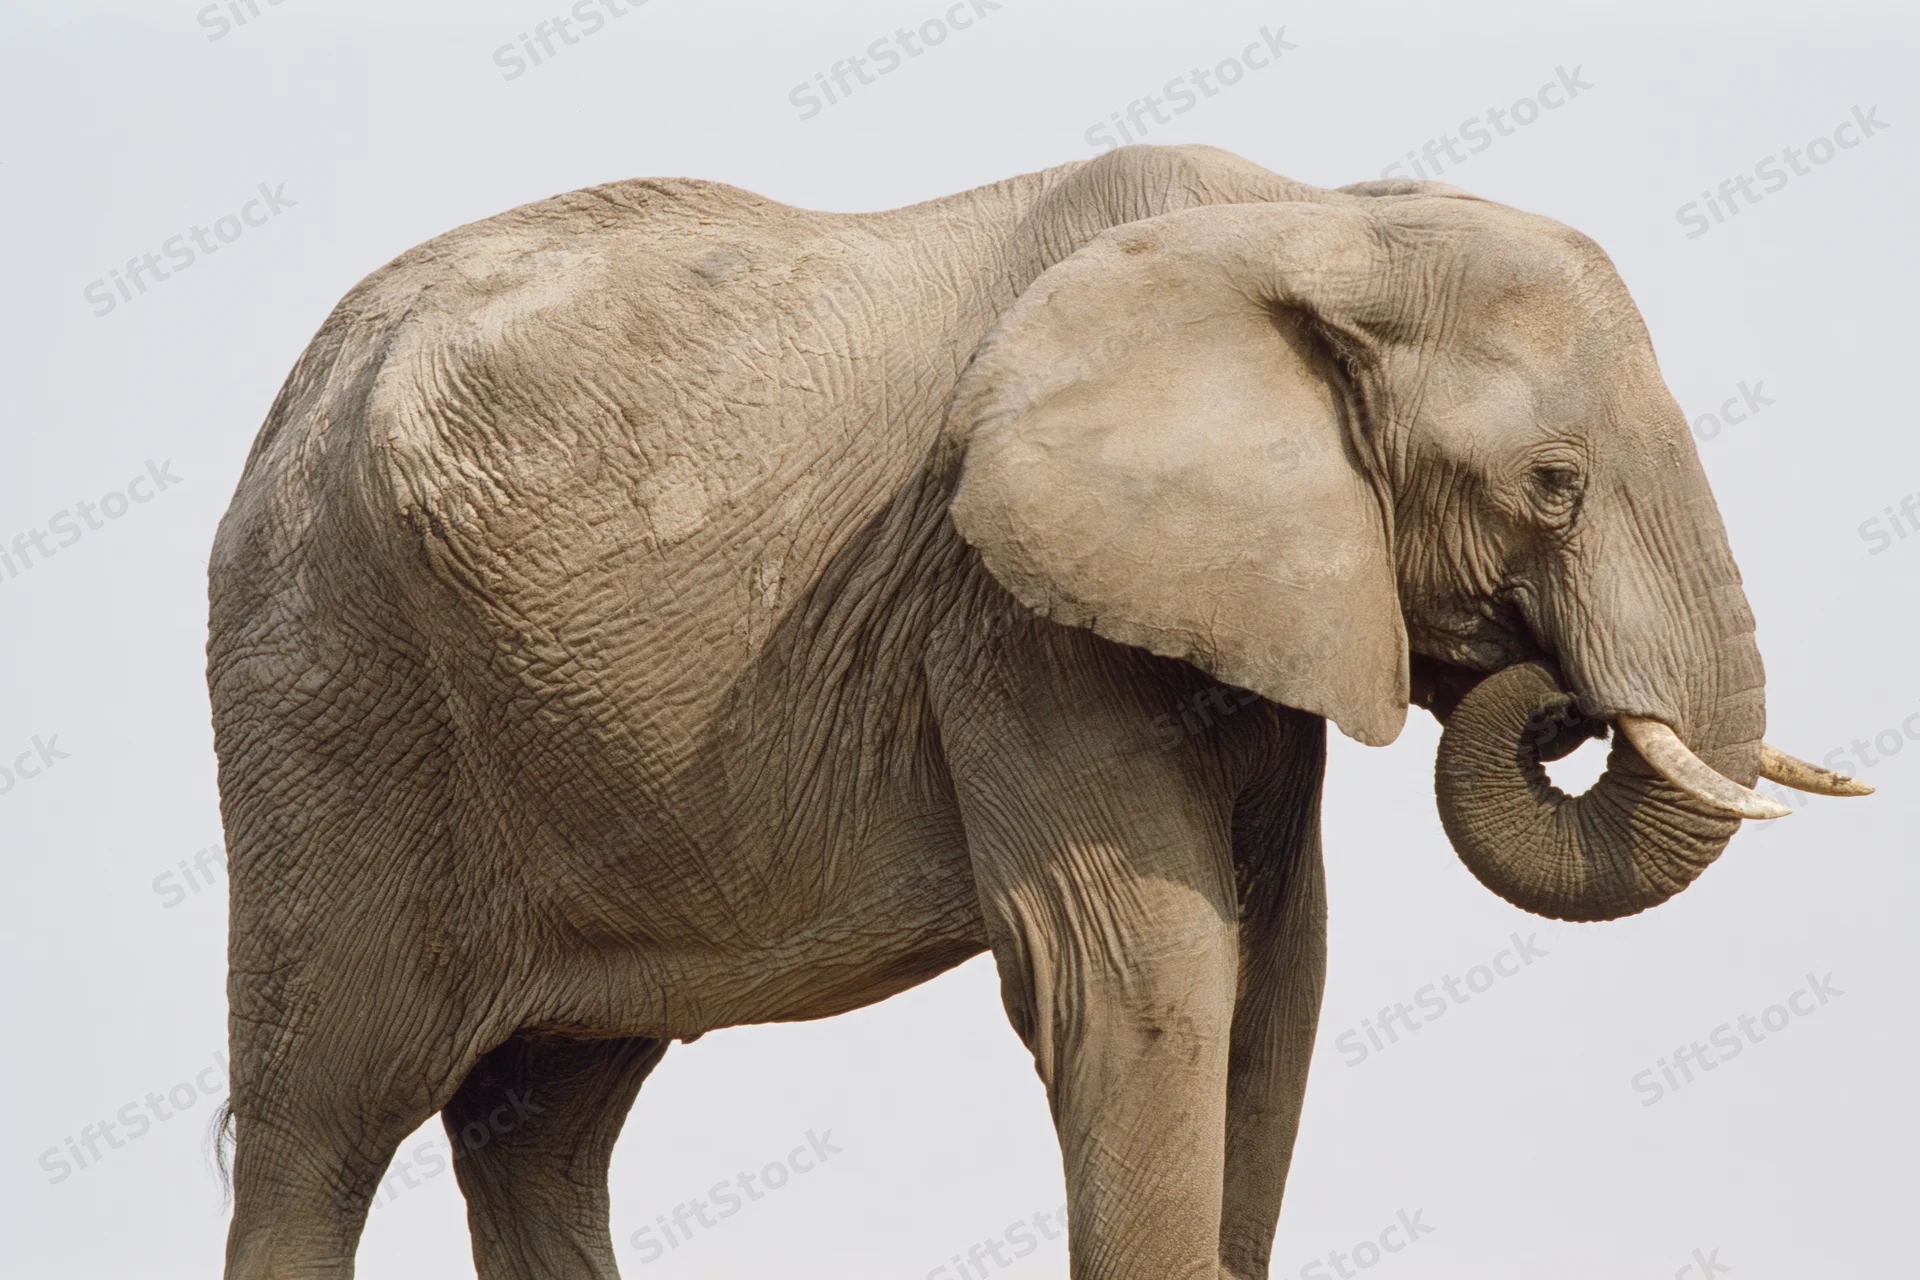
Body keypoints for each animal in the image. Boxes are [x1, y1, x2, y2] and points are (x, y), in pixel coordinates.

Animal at [206, 143, 1869, 1280]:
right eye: (1554, 484)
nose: (1553, 697)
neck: (1310, 216)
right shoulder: (1007, 608)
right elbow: (1142, 975)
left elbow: (1280, 979)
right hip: (324, 689)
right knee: (322, 1118)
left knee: (544, 1120)